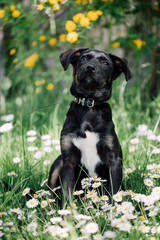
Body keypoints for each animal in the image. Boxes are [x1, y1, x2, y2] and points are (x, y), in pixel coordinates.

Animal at [47, 47, 131, 203]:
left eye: (105, 62)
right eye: (83, 58)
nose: (90, 68)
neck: (89, 104)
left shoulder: (113, 159)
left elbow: (114, 192)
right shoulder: (68, 160)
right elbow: (67, 195)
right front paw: (69, 211)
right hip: (57, 164)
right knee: (48, 196)